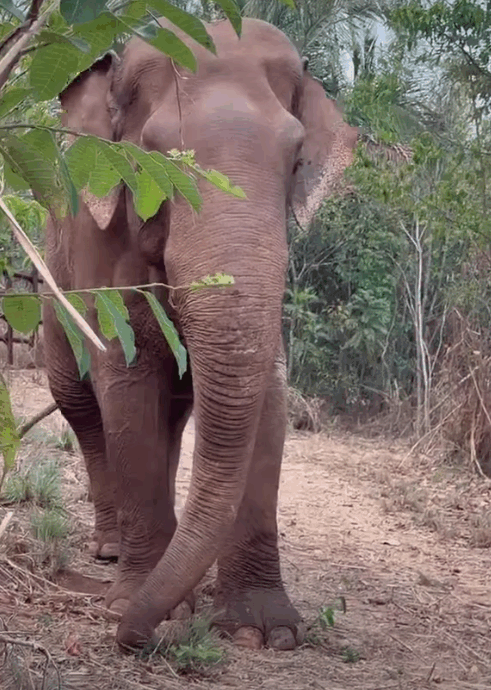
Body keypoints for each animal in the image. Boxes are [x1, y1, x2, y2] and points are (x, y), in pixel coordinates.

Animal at [43, 17, 357, 652]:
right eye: (151, 156)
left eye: (295, 159)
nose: (135, 639)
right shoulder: (100, 240)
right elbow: (126, 376)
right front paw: (140, 608)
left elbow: (267, 396)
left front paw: (265, 632)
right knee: (82, 406)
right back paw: (111, 550)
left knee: (172, 416)